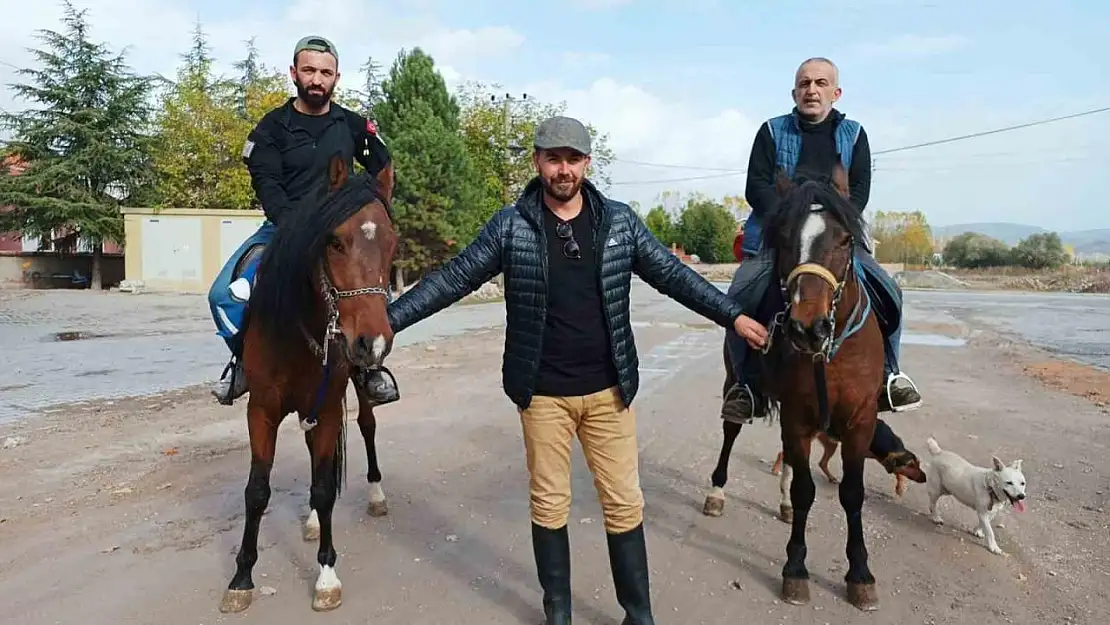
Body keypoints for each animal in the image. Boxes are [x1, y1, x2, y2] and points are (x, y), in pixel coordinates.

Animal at [216, 154, 395, 612]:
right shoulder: (262, 410)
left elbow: (323, 487)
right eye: (334, 242)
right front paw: (241, 578)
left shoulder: (329, 407)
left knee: (366, 428)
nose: (372, 343)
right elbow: (257, 491)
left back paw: (375, 495)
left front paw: (327, 576)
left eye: (393, 243)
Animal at [714, 160, 888, 612]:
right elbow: (807, 488)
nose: (808, 328)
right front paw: (795, 569)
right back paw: (716, 492)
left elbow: (852, 492)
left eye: (845, 239)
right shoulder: (797, 414)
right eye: (785, 238)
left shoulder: (860, 422)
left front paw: (860, 574)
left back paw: (784, 505)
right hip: (735, 385)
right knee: (731, 432)